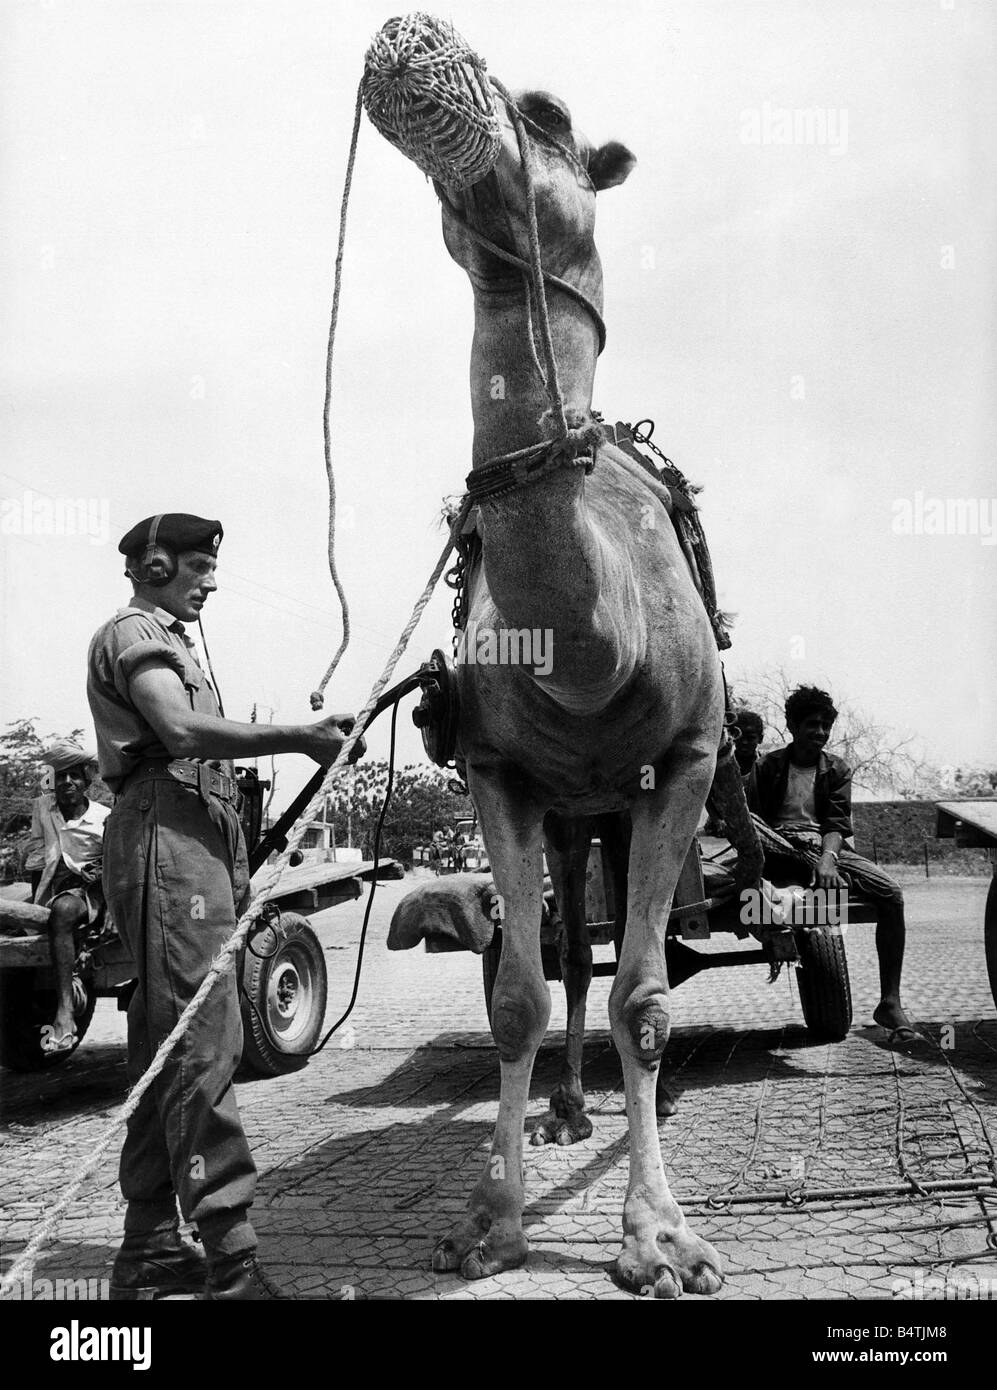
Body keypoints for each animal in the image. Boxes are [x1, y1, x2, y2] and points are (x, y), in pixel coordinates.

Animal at [389, 89, 723, 1301]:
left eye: (545, 116)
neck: (590, 646)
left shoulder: (688, 758)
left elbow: (646, 998)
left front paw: (659, 1237)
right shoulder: (498, 771)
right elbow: (517, 997)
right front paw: (489, 1223)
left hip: (620, 805)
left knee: (624, 964)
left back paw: (624, 1113)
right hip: (575, 809)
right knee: (575, 944)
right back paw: (572, 1110)